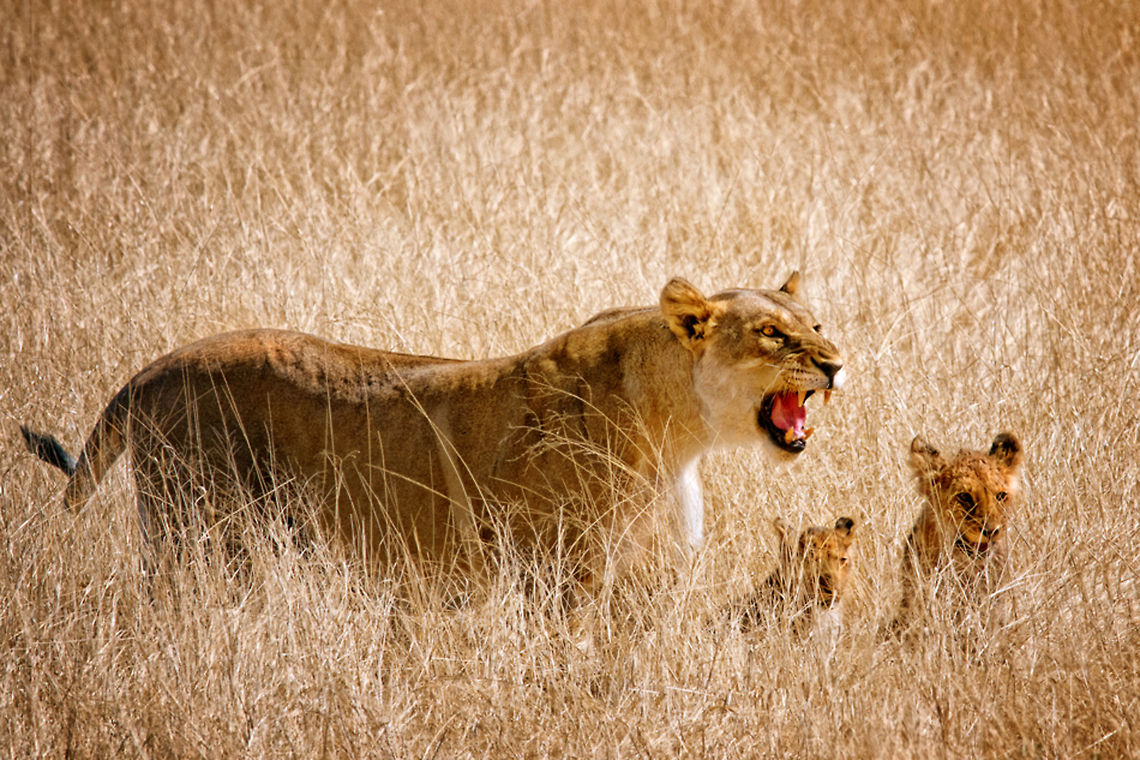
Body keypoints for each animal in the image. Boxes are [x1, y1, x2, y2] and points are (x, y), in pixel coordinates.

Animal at [20, 274, 846, 589]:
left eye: (816, 324)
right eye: (774, 335)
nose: (837, 364)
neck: (682, 431)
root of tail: (154, 368)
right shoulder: (560, 573)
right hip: (197, 531)